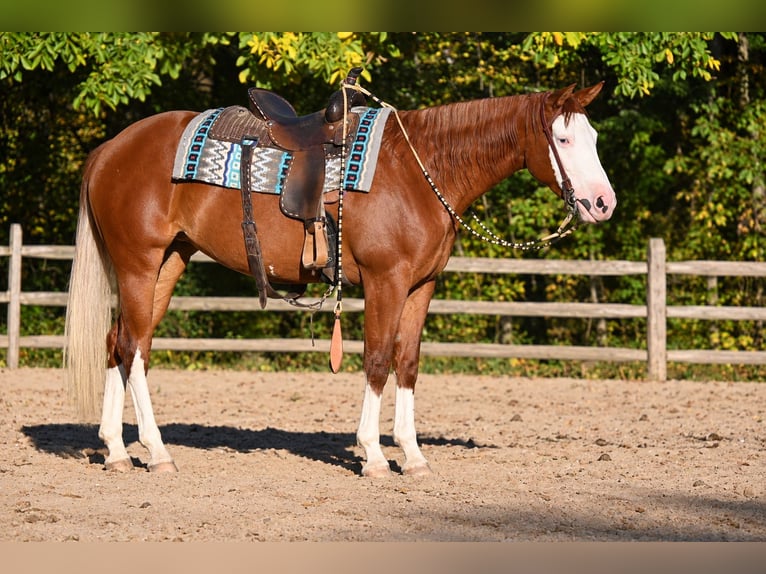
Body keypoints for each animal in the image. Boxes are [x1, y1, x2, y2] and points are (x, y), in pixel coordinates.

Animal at [65, 81, 616, 476]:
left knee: (122, 342)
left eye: (592, 138)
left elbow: (407, 363)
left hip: (169, 261)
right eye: (563, 138)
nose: (603, 204)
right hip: (138, 264)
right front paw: (373, 456)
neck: (421, 172)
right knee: (133, 348)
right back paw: (156, 452)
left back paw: (117, 451)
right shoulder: (385, 281)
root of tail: (109, 150)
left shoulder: (421, 287)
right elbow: (376, 360)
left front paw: (413, 457)